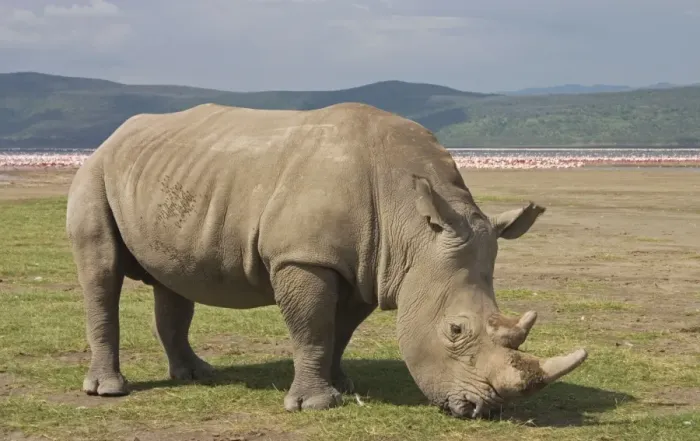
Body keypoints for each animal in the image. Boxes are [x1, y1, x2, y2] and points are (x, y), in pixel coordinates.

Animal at [66, 102, 587, 418]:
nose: (483, 409)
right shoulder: (304, 258)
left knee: (174, 281)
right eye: (456, 330)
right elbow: (312, 328)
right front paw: (316, 405)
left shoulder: (373, 265)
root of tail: (114, 135)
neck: (415, 230)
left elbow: (341, 329)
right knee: (101, 270)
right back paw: (109, 390)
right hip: (95, 171)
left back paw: (198, 375)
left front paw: (344, 385)